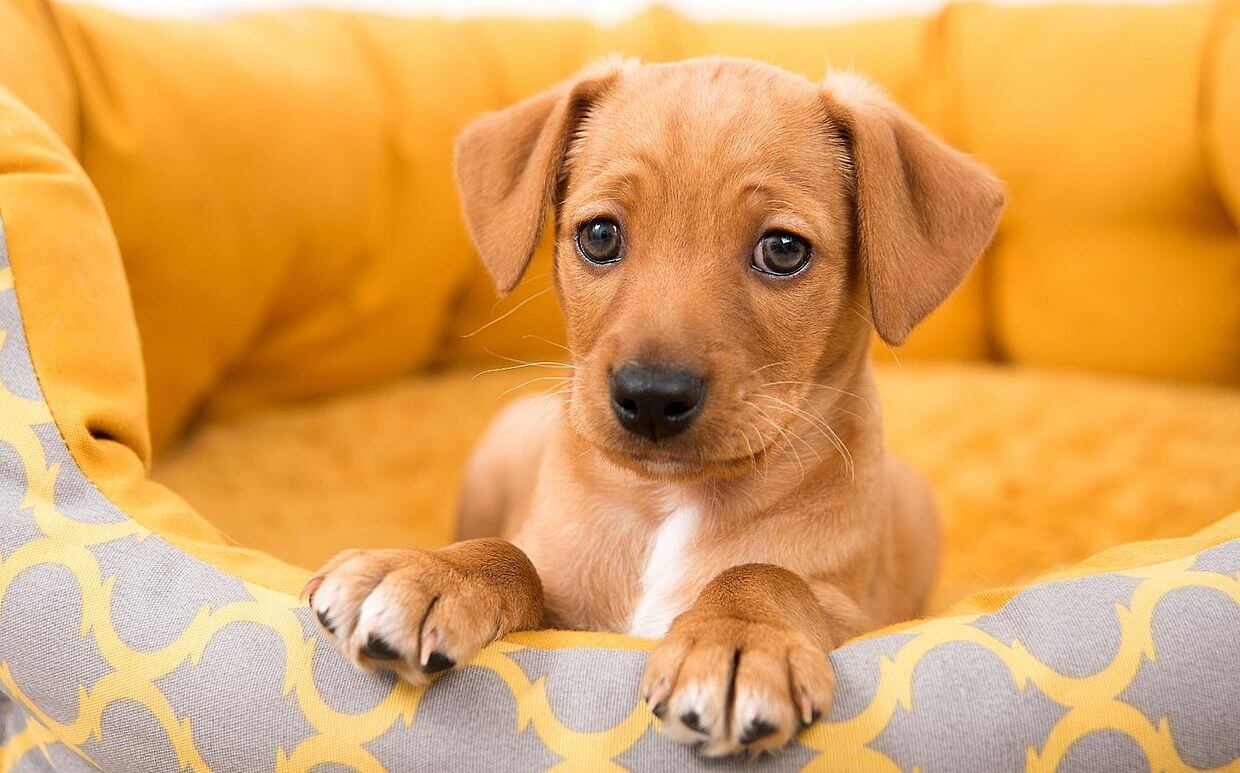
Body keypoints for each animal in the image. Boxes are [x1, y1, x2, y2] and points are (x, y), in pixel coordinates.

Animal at [305, 58, 1001, 754]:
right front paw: (429, 575)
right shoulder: (565, 599)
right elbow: (513, 556)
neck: (671, 505)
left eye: (782, 250)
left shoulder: (859, 615)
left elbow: (770, 575)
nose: (651, 395)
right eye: (600, 235)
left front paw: (739, 635)